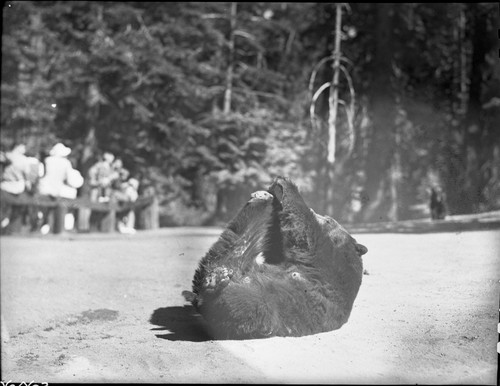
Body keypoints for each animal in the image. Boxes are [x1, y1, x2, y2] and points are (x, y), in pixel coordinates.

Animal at [184, 176, 368, 340]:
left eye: (329, 220)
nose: (317, 211)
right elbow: (278, 243)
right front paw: (277, 193)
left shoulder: (332, 263)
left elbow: (307, 235)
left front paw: (284, 184)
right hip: (234, 261)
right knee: (235, 241)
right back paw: (261, 199)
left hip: (265, 305)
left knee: (237, 304)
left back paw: (213, 285)